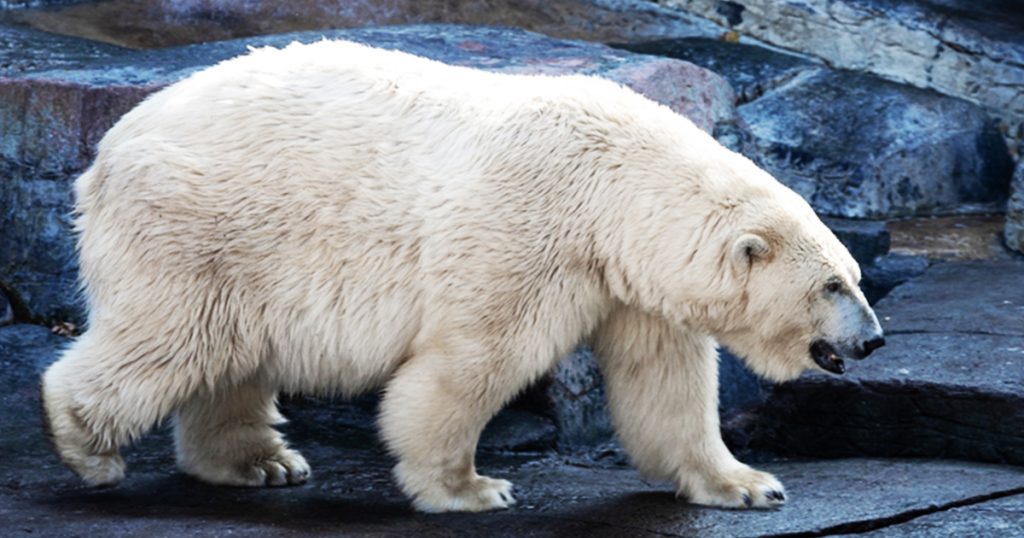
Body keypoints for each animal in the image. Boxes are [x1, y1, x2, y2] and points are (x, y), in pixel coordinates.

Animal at [41, 40, 885, 513]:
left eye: (853, 275)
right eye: (832, 287)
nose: (874, 340)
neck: (611, 185)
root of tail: (105, 153)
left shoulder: (630, 282)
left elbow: (666, 384)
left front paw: (748, 484)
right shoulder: (526, 235)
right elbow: (471, 361)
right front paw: (472, 489)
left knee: (228, 354)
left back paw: (261, 461)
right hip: (200, 224)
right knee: (170, 337)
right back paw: (87, 448)